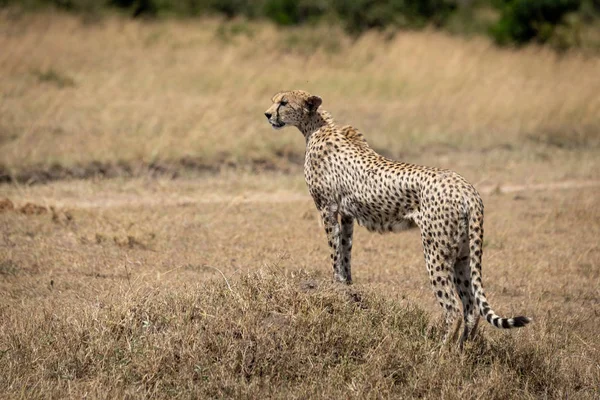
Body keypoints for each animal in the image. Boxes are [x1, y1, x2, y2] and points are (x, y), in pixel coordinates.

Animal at [262, 90, 528, 346]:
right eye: (274, 100)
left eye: (283, 102)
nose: (267, 114)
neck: (315, 127)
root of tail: (466, 188)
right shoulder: (347, 214)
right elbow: (346, 251)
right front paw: (347, 287)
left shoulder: (327, 208)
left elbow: (334, 252)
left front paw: (335, 284)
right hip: (463, 255)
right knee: (472, 308)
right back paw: (462, 353)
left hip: (436, 251)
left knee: (453, 309)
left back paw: (438, 353)